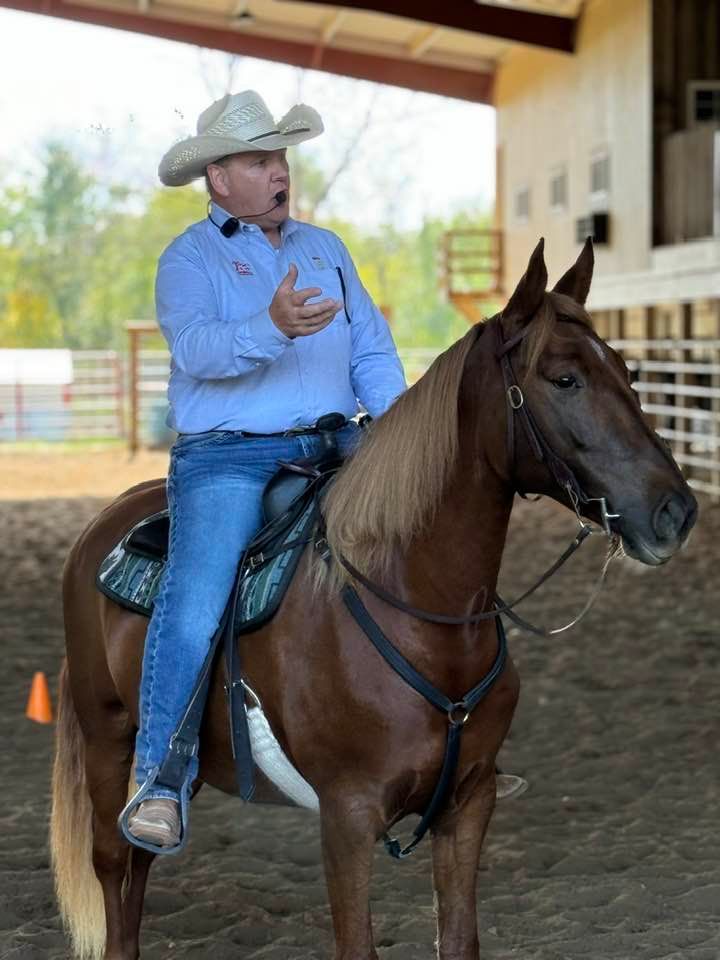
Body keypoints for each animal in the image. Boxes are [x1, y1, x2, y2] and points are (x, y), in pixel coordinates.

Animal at [52, 234, 696, 960]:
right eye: (564, 378)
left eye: (627, 371)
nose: (676, 512)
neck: (421, 609)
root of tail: (100, 529)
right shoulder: (348, 815)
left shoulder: (468, 806)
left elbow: (460, 938)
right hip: (108, 738)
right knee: (116, 864)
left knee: (138, 871)